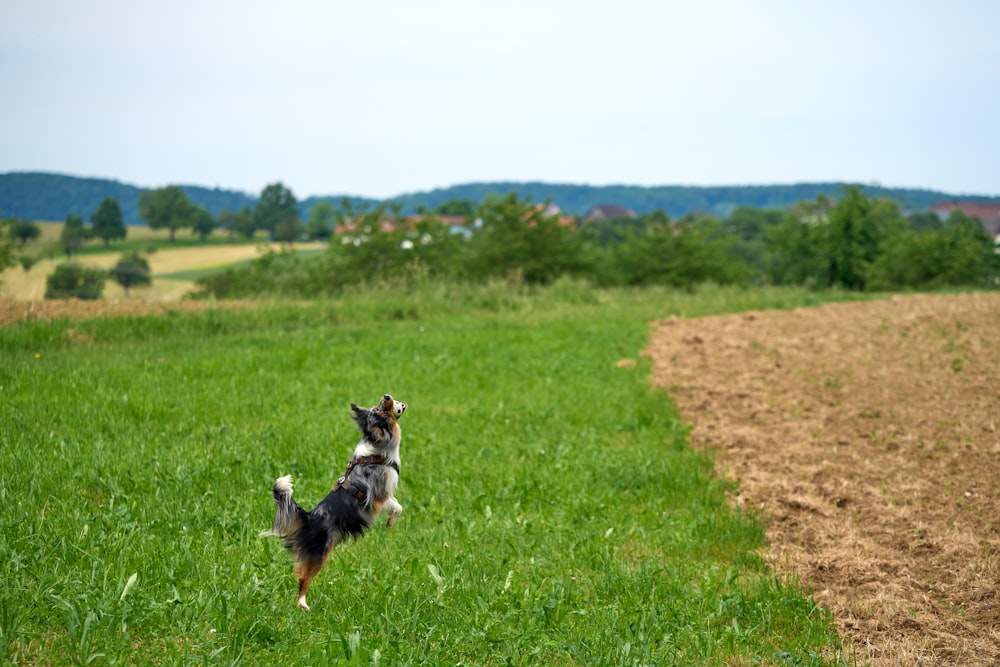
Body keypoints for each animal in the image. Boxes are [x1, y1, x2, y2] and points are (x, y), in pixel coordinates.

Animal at [268, 394, 408, 612]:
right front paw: (390, 521)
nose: (386, 396)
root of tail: (309, 518)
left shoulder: (385, 495)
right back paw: (304, 605)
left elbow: (396, 503)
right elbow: (397, 506)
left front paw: (390, 522)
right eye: (381, 411)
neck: (377, 452)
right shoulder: (377, 497)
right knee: (303, 578)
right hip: (319, 554)